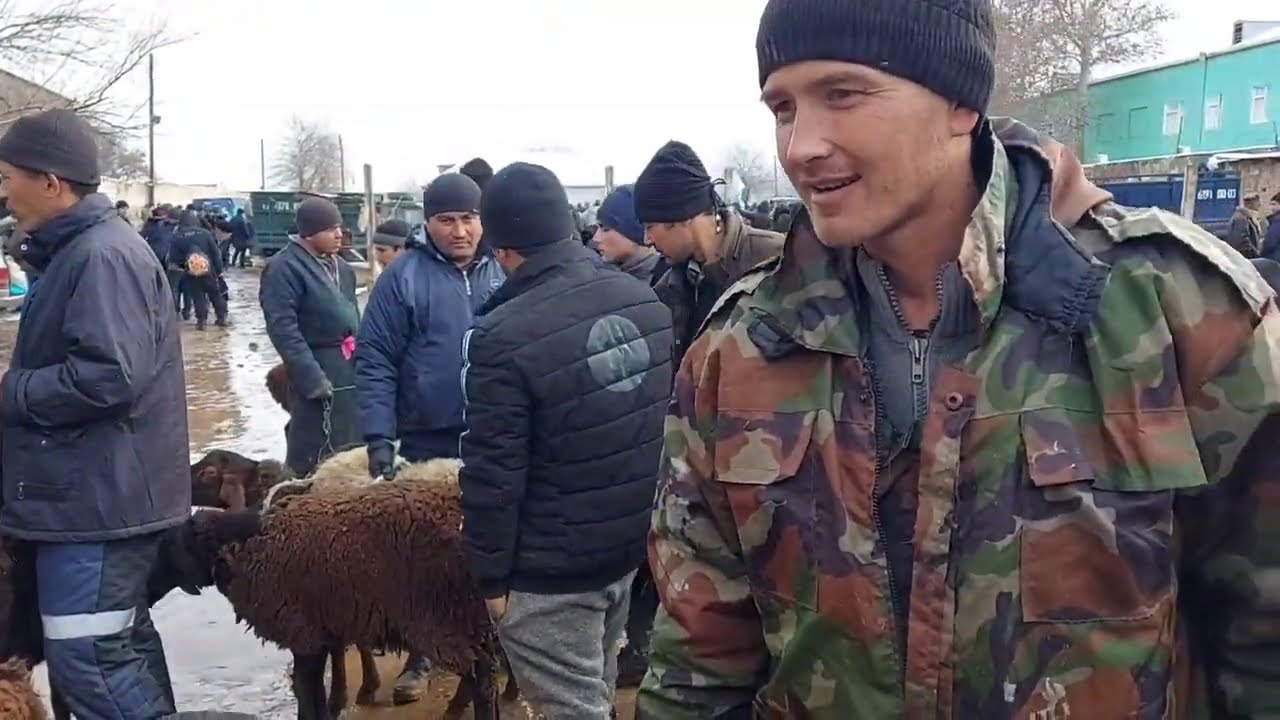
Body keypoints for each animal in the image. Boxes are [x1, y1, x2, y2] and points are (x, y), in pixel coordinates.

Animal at [160, 459, 505, 720]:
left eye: (208, 473)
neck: (251, 539)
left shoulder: (301, 629)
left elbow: (305, 690)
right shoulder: (324, 623)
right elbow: (316, 686)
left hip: (445, 616)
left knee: (481, 676)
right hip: (469, 615)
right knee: (485, 670)